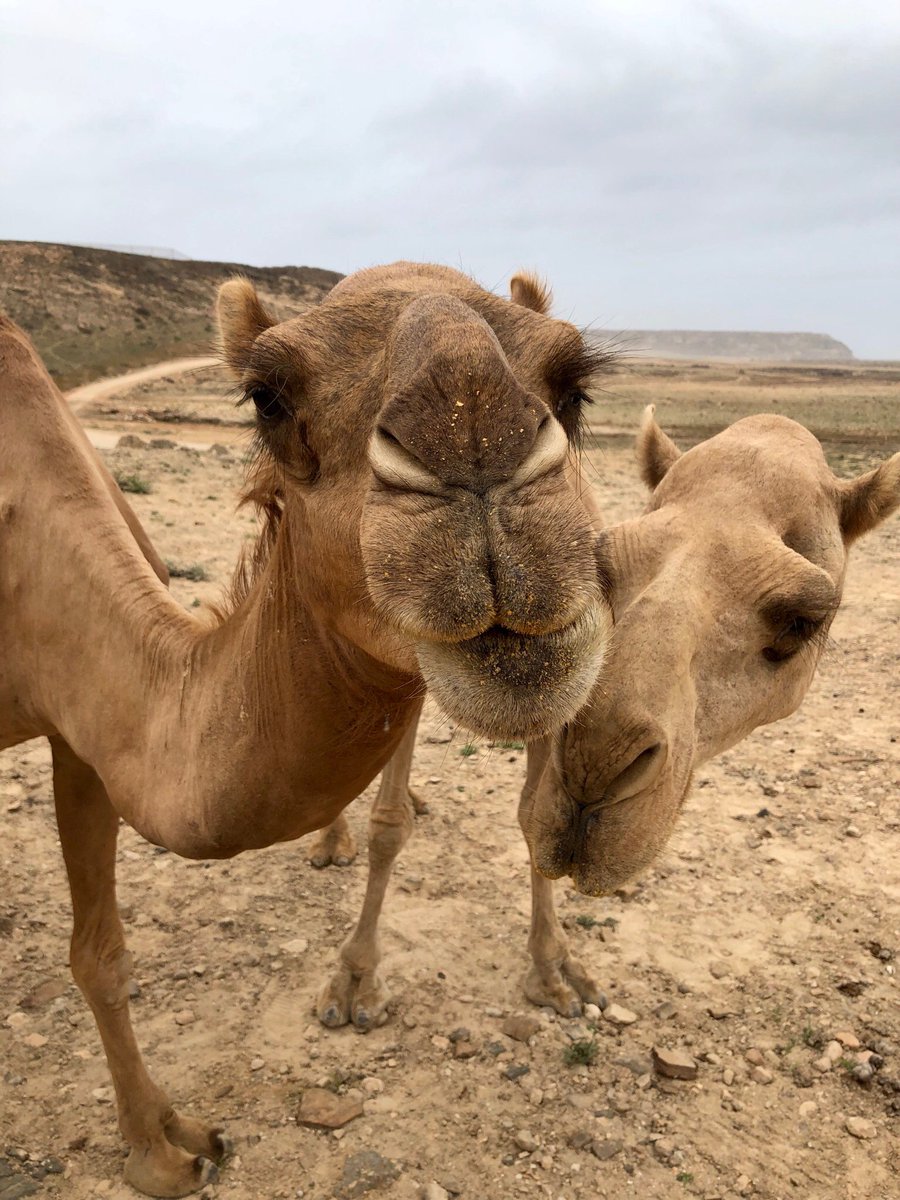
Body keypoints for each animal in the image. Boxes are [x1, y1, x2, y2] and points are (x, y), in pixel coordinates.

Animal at [0, 263, 616, 1197]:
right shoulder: (82, 716)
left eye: (575, 385)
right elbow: (101, 951)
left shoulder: (83, 721)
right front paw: (160, 1150)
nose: (472, 433)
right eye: (266, 397)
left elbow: (100, 952)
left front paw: (164, 1139)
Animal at [311, 408, 900, 1028]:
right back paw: (332, 837)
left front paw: (555, 972)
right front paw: (355, 982)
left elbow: (529, 812)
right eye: (607, 566)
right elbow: (388, 823)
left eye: (800, 623)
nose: (595, 768)